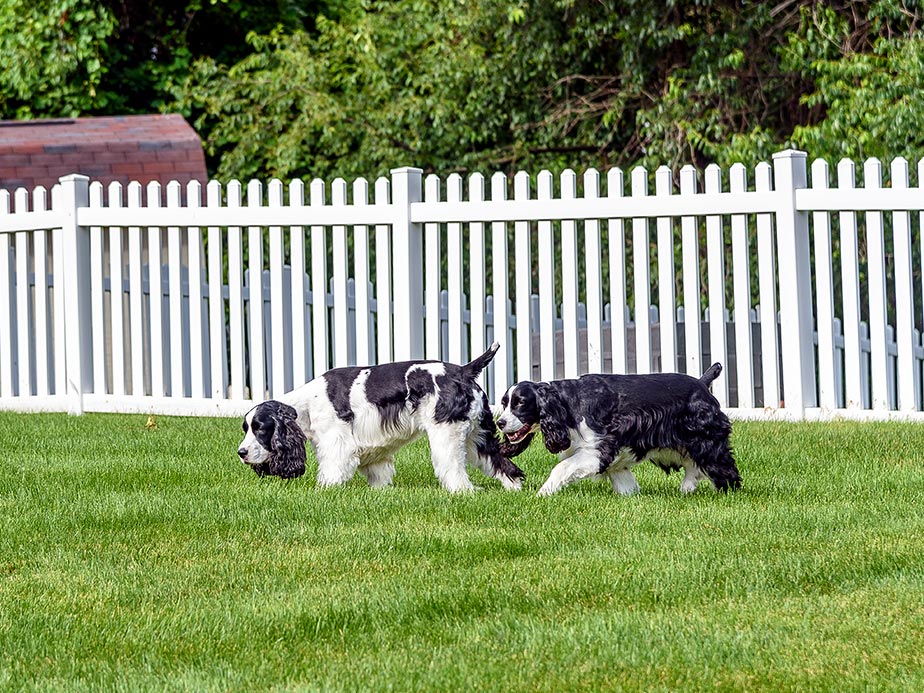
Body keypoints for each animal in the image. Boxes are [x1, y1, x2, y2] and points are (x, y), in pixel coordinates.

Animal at [236, 342, 528, 492]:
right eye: (245, 428)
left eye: (260, 428)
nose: (241, 452)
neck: (307, 404)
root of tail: (465, 371)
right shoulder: (374, 450)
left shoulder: (337, 445)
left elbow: (330, 474)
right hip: (478, 435)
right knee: (502, 464)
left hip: (448, 433)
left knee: (454, 470)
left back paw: (461, 492)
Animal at [494, 364, 740, 494]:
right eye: (504, 403)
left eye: (520, 403)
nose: (500, 423)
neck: (567, 403)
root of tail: (702, 383)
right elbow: (622, 478)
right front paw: (630, 495)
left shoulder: (598, 448)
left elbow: (562, 468)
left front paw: (543, 493)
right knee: (692, 464)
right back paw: (686, 489)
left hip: (706, 438)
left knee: (722, 466)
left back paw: (728, 491)